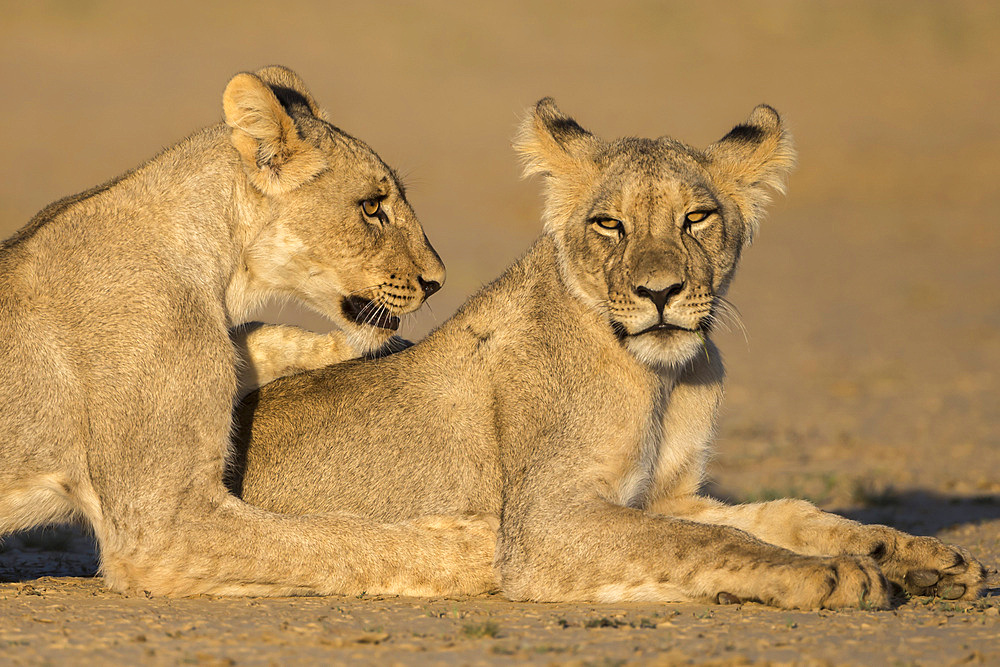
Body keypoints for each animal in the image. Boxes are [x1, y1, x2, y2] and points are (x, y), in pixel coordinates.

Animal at [0, 65, 498, 596]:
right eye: (371, 206)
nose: (436, 281)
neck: (219, 271)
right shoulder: (158, 529)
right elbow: (325, 539)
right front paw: (477, 549)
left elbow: (261, 336)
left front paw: (375, 349)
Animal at [232, 98, 984, 612]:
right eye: (609, 224)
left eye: (696, 218)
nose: (660, 292)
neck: (663, 379)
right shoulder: (545, 524)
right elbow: (710, 541)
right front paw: (833, 574)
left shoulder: (671, 493)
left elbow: (785, 515)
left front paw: (918, 556)